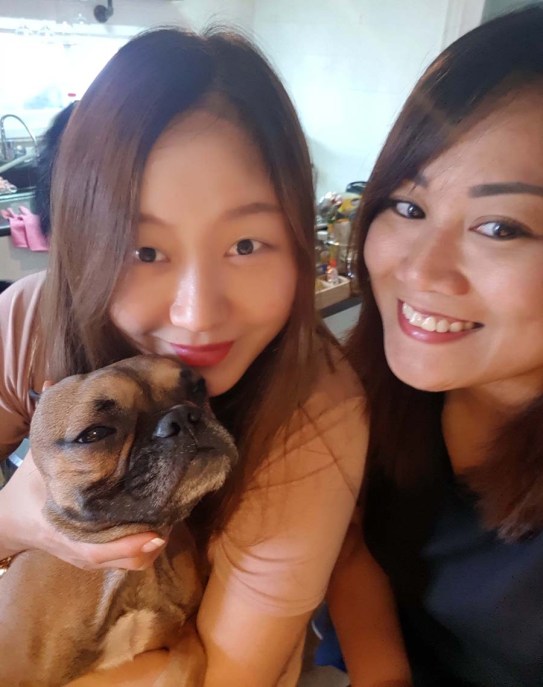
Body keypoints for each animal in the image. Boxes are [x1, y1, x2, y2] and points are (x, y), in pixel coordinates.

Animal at [0, 355, 238, 687]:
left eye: (198, 388)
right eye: (95, 433)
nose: (183, 415)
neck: (129, 576)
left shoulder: (184, 633)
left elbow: (189, 663)